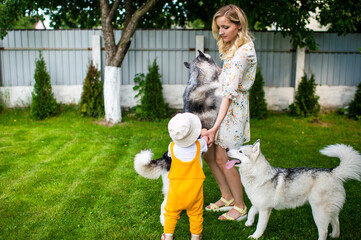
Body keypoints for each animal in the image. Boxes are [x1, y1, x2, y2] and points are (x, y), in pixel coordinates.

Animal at [225, 140, 360, 239]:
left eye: (240, 151)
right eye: (238, 148)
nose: (226, 149)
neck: (257, 175)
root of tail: (333, 172)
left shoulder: (265, 209)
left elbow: (260, 226)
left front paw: (255, 236)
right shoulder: (259, 204)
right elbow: (251, 211)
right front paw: (249, 222)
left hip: (318, 212)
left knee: (324, 231)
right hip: (330, 210)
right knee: (336, 223)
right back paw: (335, 235)